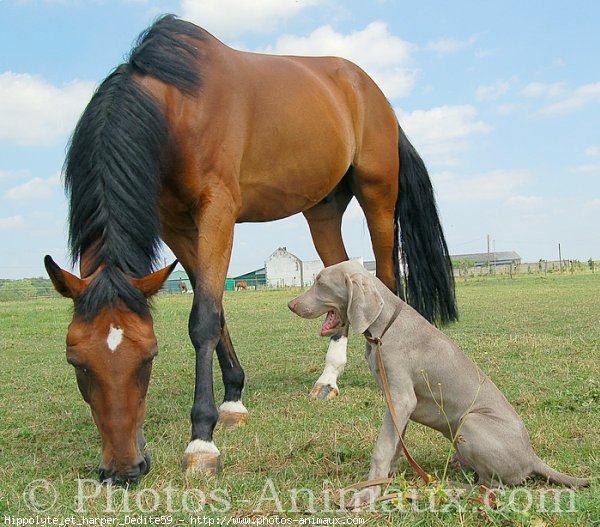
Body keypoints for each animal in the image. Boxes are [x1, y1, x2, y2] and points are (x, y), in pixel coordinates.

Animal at [44, 15, 454, 486]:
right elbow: (215, 309)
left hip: (378, 195)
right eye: (76, 362)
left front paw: (202, 440)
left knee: (385, 277)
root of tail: (371, 91)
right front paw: (233, 399)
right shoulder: (176, 226)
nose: (123, 469)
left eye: (149, 357)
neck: (176, 107)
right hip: (322, 208)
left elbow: (203, 318)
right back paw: (328, 378)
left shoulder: (218, 209)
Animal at [288, 262, 588, 510]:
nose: (290, 304)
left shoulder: (402, 398)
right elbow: (396, 443)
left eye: (321, 283)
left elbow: (382, 448)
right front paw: (390, 477)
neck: (383, 328)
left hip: (470, 422)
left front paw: (369, 492)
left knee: (492, 484)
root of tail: (533, 457)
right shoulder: (397, 402)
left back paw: (451, 485)